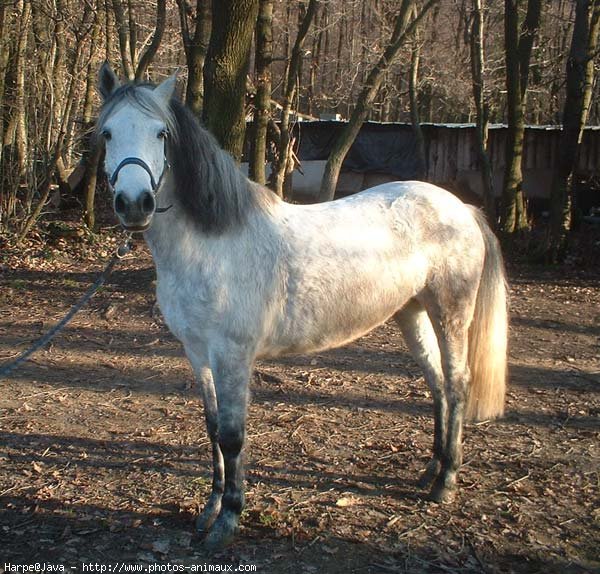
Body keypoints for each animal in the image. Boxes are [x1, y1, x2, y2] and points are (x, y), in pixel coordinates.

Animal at [97, 65, 506, 552]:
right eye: (106, 133)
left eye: (160, 134)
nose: (134, 203)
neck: (211, 243)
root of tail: (461, 207)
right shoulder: (198, 354)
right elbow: (213, 429)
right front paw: (208, 511)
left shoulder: (233, 355)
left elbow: (232, 436)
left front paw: (227, 521)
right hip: (412, 313)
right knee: (439, 385)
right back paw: (431, 470)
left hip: (450, 312)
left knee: (458, 382)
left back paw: (446, 482)